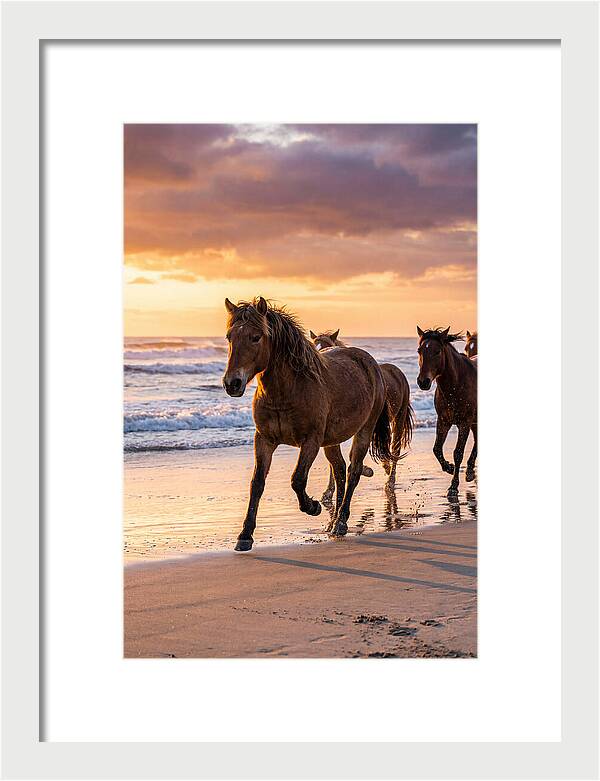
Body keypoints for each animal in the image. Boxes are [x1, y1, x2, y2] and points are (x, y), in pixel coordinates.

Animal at [222, 297, 393, 550]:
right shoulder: (264, 440)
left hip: (363, 431)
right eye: (229, 337)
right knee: (340, 470)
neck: (287, 390)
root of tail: (371, 364)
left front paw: (312, 507)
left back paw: (341, 522)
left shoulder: (310, 441)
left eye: (255, 337)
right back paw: (333, 523)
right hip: (331, 441)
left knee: (353, 471)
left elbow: (297, 479)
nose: (232, 383)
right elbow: (257, 483)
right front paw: (245, 535)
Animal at [310, 329, 414, 492]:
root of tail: (397, 371)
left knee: (395, 449)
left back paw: (390, 481)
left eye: (326, 345)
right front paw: (328, 491)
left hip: (398, 418)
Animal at [416, 326, 477, 495]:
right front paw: (448, 467)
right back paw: (470, 471)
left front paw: (453, 486)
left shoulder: (465, 423)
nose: (423, 382)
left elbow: (458, 453)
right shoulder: (443, 421)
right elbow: (436, 449)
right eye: (419, 350)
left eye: (437, 351)